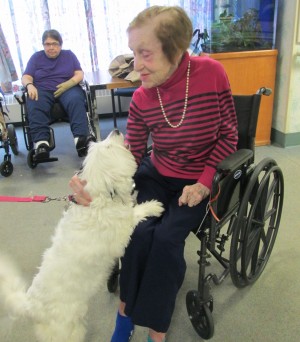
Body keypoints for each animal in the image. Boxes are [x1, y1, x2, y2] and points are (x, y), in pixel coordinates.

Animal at [0, 129, 164, 342]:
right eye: (108, 147)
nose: (116, 130)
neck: (101, 199)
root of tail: (30, 307)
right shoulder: (121, 231)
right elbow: (134, 214)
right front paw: (153, 206)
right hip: (68, 331)